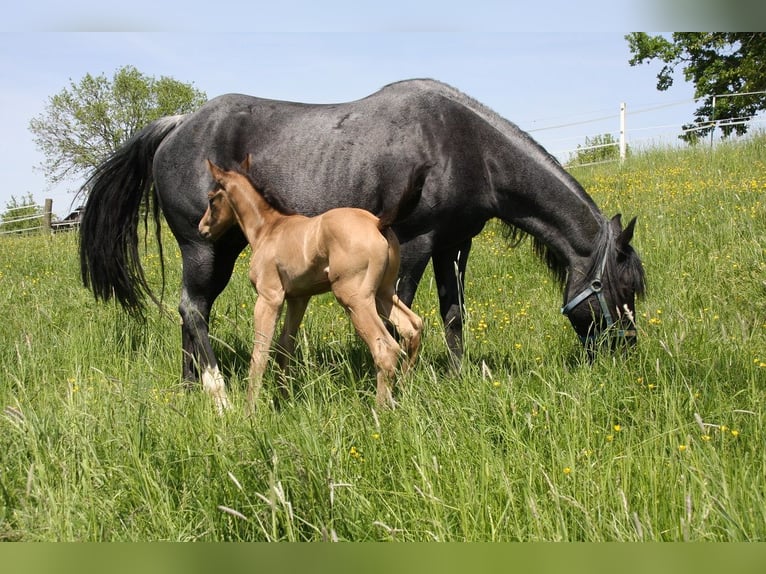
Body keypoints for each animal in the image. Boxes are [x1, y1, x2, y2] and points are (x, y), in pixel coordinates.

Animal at [198, 155, 426, 412]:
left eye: (211, 199)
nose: (202, 229)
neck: (268, 229)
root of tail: (378, 223)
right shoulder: (298, 299)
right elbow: (284, 347)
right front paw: (285, 400)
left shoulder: (269, 298)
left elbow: (260, 353)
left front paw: (250, 411)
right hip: (383, 293)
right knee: (412, 326)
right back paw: (402, 392)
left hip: (355, 299)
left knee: (385, 348)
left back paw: (379, 410)